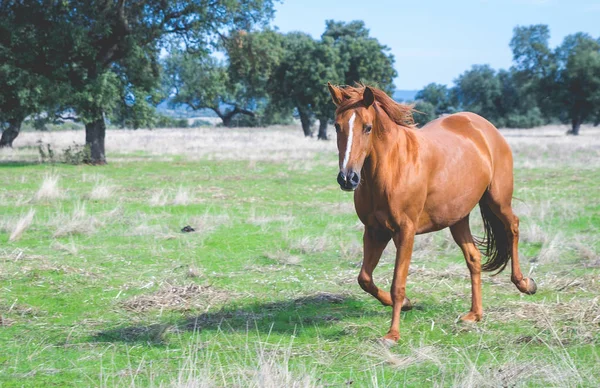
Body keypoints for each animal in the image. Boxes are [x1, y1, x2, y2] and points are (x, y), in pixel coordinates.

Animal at [330, 83, 536, 344]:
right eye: (337, 126)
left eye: (367, 127)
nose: (348, 178)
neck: (393, 167)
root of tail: (486, 128)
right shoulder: (375, 231)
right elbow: (364, 279)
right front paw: (408, 304)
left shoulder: (404, 232)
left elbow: (398, 285)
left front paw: (393, 334)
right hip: (458, 218)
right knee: (474, 258)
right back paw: (474, 314)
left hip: (498, 200)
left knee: (513, 227)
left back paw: (525, 284)